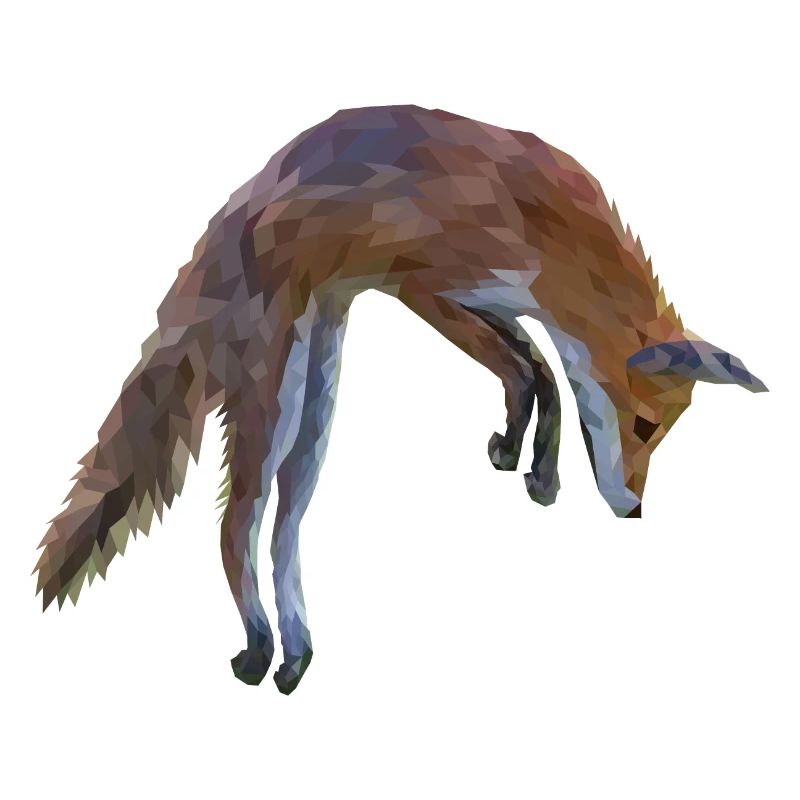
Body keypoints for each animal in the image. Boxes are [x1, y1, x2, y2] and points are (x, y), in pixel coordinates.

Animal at [34, 104, 767, 693]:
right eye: (642, 427)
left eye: (663, 435)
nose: (636, 510)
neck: (550, 232)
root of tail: (239, 207)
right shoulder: (425, 285)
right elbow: (531, 369)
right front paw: (530, 458)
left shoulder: (488, 300)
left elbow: (539, 371)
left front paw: (530, 461)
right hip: (278, 399)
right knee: (235, 523)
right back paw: (259, 647)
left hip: (317, 401)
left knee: (283, 527)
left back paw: (294, 649)